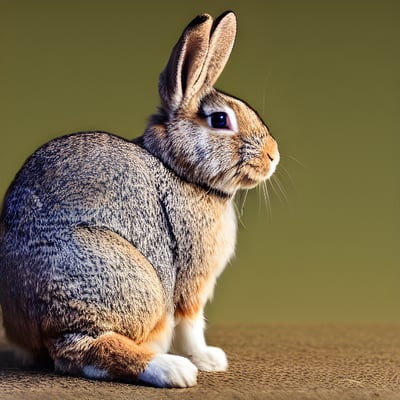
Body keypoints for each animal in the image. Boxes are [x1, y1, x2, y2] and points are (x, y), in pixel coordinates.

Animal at [0, 10, 278, 388]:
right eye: (220, 119)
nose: (273, 155)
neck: (180, 171)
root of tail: (22, 306)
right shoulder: (190, 284)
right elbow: (191, 326)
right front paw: (208, 359)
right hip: (125, 283)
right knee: (81, 351)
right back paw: (172, 370)